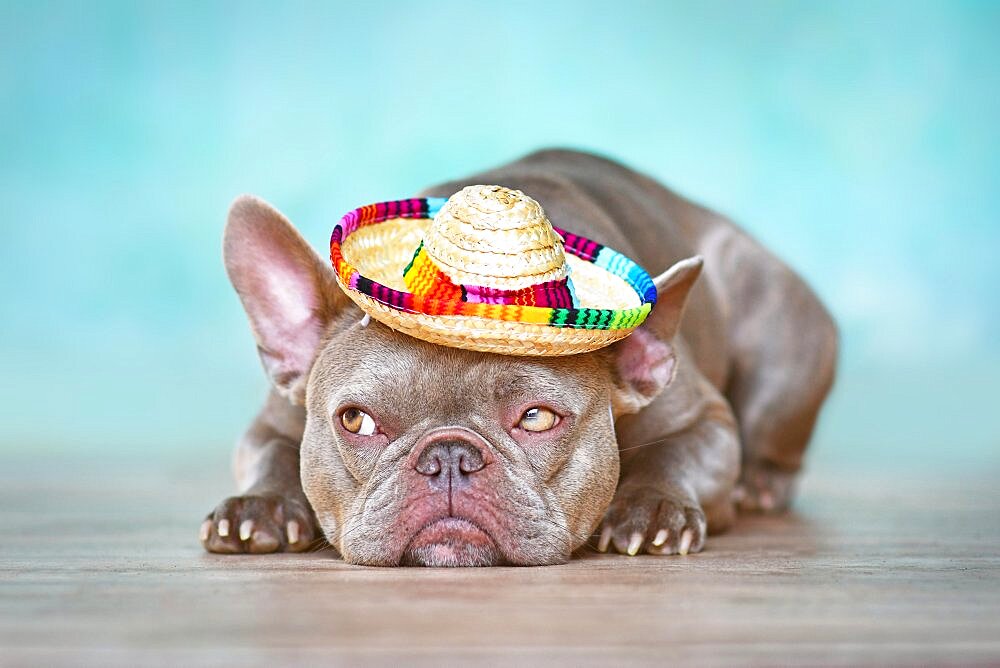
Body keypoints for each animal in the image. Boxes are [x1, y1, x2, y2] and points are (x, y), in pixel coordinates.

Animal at [201, 147, 836, 564]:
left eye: (536, 418)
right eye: (355, 421)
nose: (449, 457)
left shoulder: (706, 419)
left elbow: (676, 454)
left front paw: (651, 508)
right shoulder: (271, 422)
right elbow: (270, 453)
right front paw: (258, 506)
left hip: (785, 344)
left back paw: (759, 485)